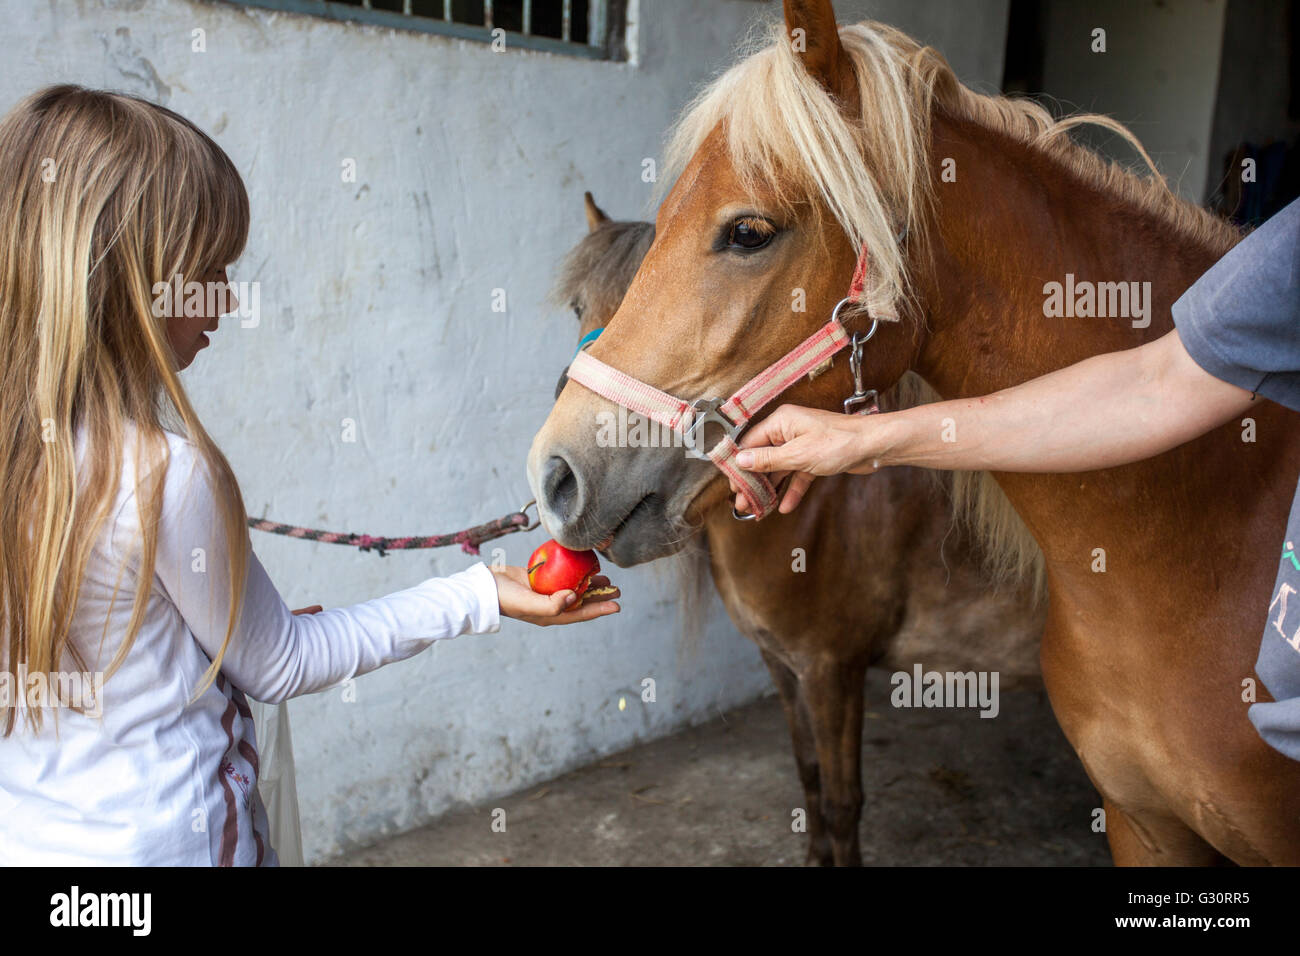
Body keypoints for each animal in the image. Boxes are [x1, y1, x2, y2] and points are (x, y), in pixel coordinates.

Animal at [547, 191, 1046, 865]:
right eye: (579, 306)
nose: (561, 477)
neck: (817, 516)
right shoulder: (781, 664)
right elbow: (807, 774)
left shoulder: (832, 671)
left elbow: (842, 801)